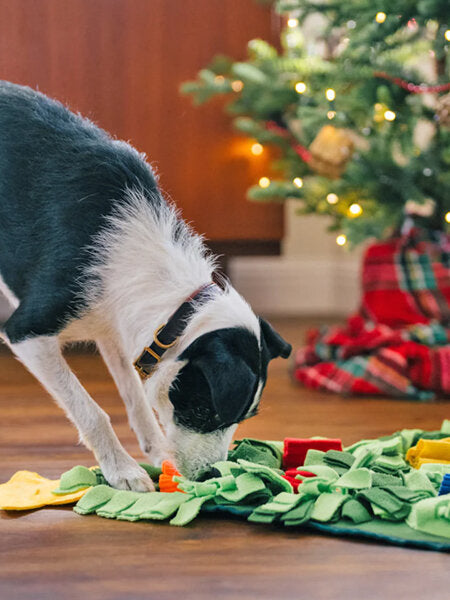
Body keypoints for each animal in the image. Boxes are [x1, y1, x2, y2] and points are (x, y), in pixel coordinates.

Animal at [0, 81, 292, 492]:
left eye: (243, 419)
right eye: (203, 409)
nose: (212, 475)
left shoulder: (117, 330)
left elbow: (135, 395)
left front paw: (156, 450)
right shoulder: (28, 332)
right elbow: (91, 411)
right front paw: (122, 470)